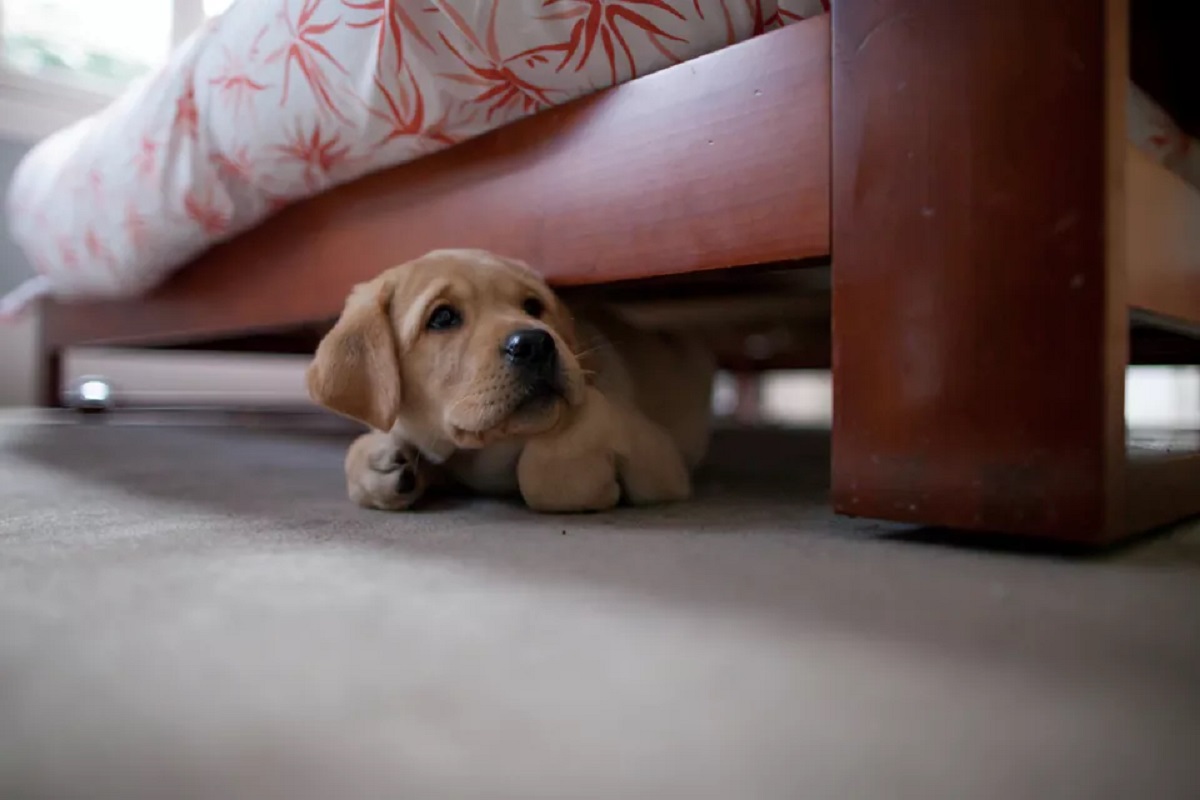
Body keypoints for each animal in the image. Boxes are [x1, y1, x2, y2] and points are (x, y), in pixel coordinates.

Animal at [307, 248, 710, 513]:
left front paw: (588, 480)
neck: (482, 452)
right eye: (442, 317)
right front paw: (382, 458)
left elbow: (548, 463)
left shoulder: (660, 454)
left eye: (533, 307)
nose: (535, 344)